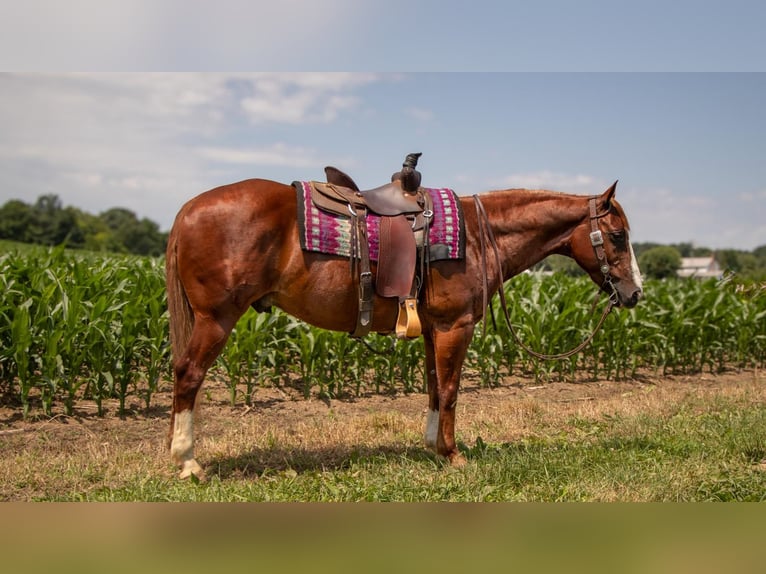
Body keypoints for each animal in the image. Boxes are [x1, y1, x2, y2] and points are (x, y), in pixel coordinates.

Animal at [166, 177, 640, 482]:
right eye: (617, 236)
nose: (635, 293)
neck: (476, 236)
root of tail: (187, 208)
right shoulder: (454, 326)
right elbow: (450, 390)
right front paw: (452, 455)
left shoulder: (434, 330)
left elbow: (433, 387)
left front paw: (432, 446)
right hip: (216, 319)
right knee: (188, 375)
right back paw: (187, 462)